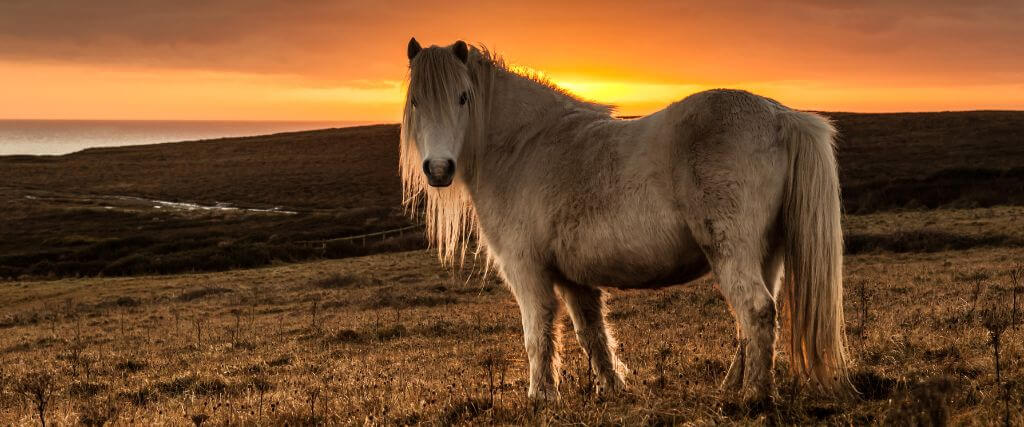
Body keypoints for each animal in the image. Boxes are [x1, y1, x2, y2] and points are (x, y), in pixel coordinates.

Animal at [399, 38, 853, 404]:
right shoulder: (574, 278)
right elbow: (591, 333)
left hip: (732, 252)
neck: (523, 148)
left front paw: (541, 397)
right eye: (416, 101)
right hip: (767, 255)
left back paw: (754, 397)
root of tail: (782, 117)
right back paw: (732, 386)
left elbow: (537, 332)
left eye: (463, 97)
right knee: (752, 319)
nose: (438, 169)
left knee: (756, 311)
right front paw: (611, 388)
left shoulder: (527, 269)